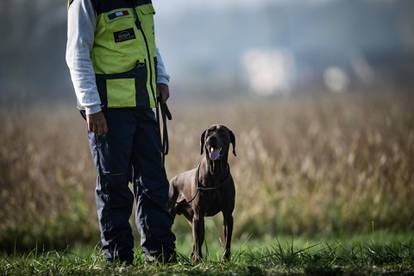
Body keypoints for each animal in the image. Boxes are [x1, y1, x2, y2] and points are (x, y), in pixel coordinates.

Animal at [167, 125, 236, 260]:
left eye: (222, 132)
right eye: (209, 132)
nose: (211, 138)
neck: (215, 172)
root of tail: (173, 180)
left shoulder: (227, 214)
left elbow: (227, 239)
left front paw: (226, 258)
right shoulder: (199, 215)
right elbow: (198, 241)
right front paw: (199, 259)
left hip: (193, 220)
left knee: (195, 240)